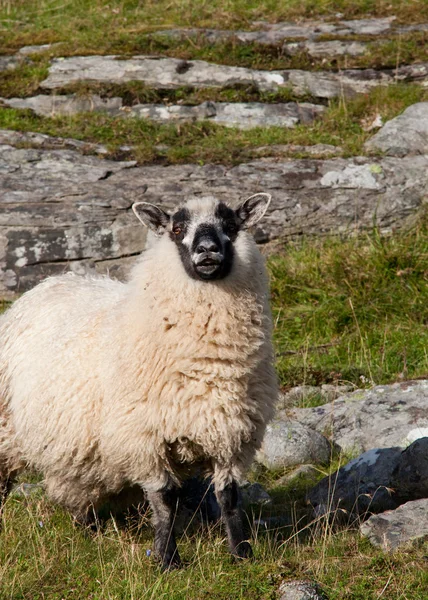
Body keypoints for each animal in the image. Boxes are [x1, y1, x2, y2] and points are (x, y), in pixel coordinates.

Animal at [0, 192, 278, 568]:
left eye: (231, 226)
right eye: (177, 229)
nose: (207, 250)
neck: (208, 362)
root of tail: (53, 280)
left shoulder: (232, 436)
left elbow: (229, 497)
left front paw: (241, 554)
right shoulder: (144, 436)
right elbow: (165, 500)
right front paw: (168, 560)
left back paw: (88, 530)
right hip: (6, 425)